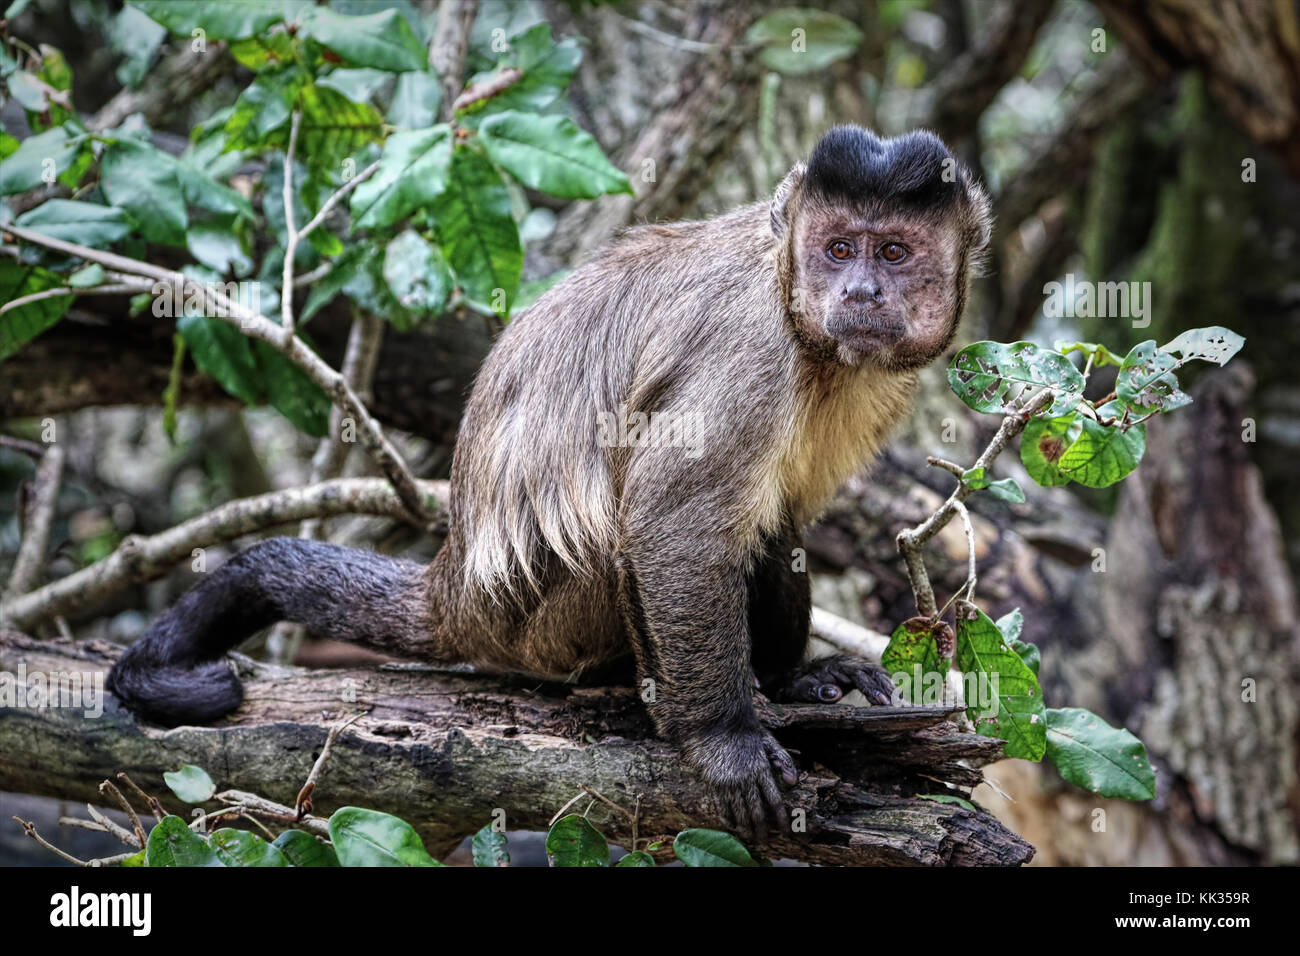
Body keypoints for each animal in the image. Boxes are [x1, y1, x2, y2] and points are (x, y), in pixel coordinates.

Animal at [107, 125, 992, 837]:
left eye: (894, 253)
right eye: (840, 249)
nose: (861, 290)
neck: (799, 311)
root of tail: (455, 585)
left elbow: (774, 525)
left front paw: (791, 679)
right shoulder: (751, 349)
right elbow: (673, 531)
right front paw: (724, 740)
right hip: (542, 625)